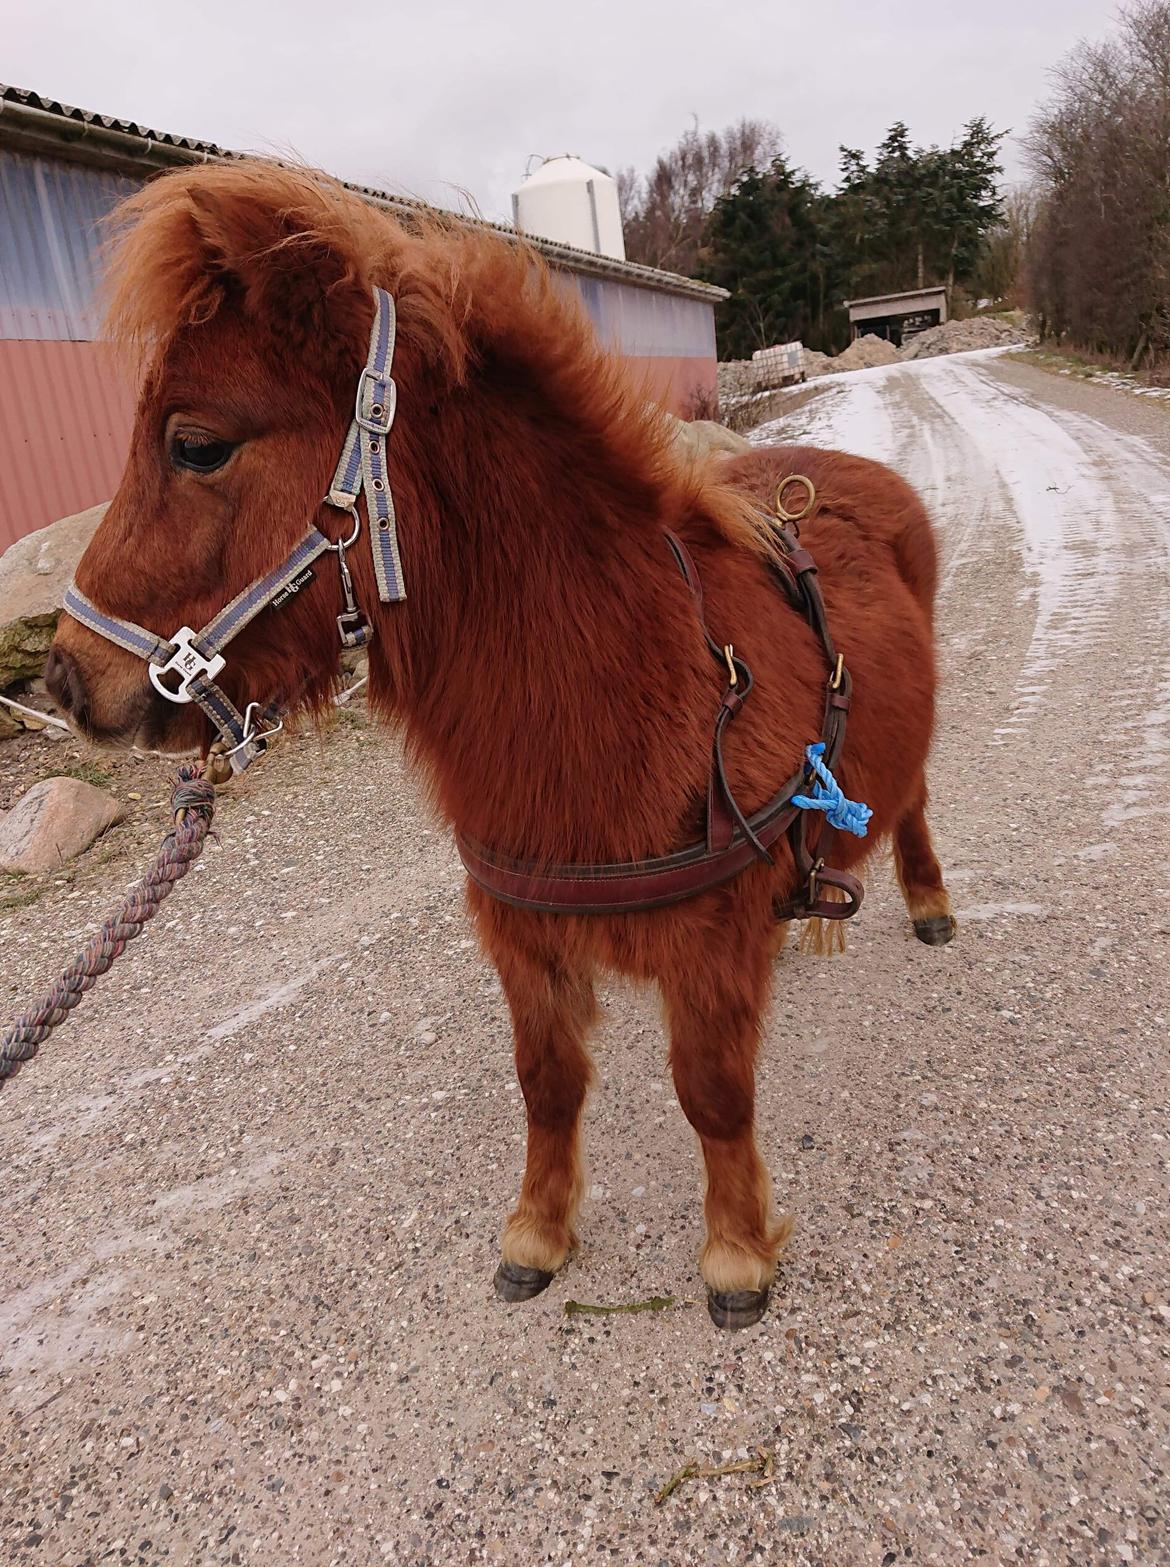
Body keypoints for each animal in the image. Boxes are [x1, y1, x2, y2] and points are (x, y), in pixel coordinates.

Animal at [50, 165, 958, 1328]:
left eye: (195, 444)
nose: (67, 680)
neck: (628, 680)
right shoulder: (523, 937)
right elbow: (547, 1084)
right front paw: (539, 1233)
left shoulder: (705, 949)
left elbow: (713, 1092)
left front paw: (736, 1254)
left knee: (914, 799)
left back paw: (928, 902)